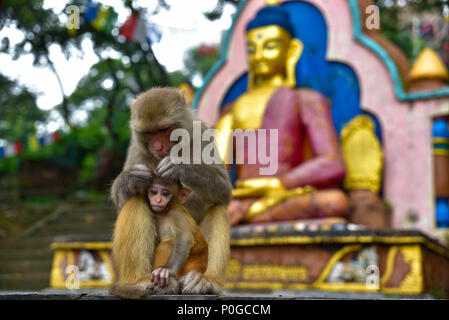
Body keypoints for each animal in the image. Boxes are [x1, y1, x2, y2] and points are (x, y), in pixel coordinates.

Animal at [110, 87, 233, 298]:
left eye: (163, 129)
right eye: (149, 133)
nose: (158, 147)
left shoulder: (200, 134)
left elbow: (223, 190)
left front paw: (179, 166)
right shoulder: (136, 148)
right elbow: (123, 202)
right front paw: (130, 179)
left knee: (218, 209)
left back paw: (207, 281)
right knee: (135, 199)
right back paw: (137, 283)